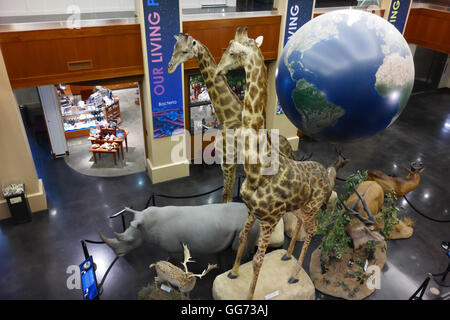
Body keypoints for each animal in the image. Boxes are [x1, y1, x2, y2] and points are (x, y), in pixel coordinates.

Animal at [169, 33, 296, 202]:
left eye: (184, 51)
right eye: (174, 47)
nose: (170, 66)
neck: (227, 115)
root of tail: (290, 150)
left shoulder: (227, 162)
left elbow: (226, 196)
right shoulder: (231, 164)